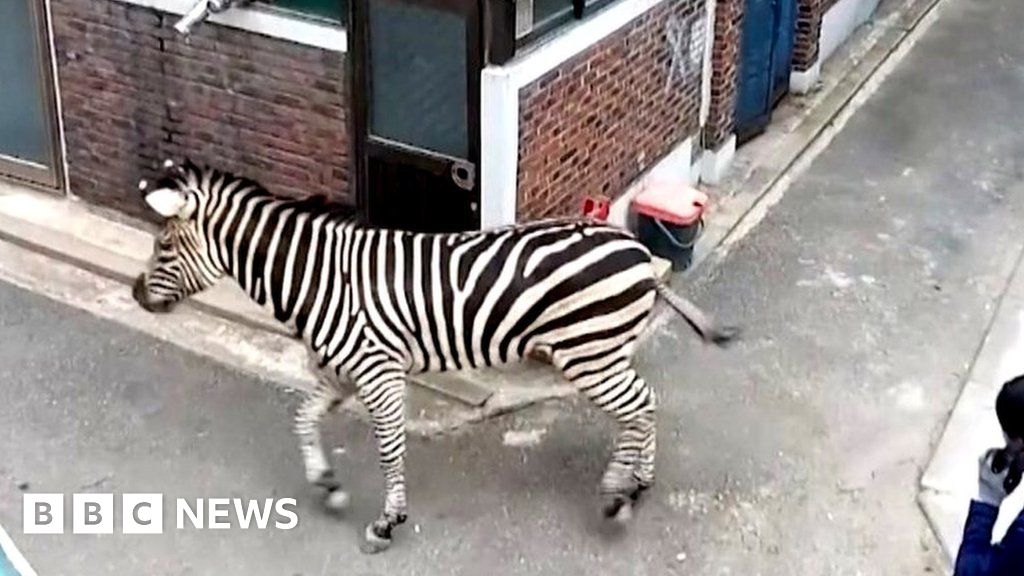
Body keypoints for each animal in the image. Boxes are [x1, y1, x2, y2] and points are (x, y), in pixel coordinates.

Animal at [134, 156, 737, 553]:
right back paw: (636, 482)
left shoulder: (378, 372)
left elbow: (388, 450)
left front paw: (387, 522)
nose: (137, 294)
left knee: (639, 406)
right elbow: (302, 419)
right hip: (603, 352)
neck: (321, 278)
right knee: (644, 405)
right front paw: (327, 485)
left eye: (163, 245)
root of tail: (636, 249)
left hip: (588, 353)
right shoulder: (339, 374)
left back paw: (616, 493)